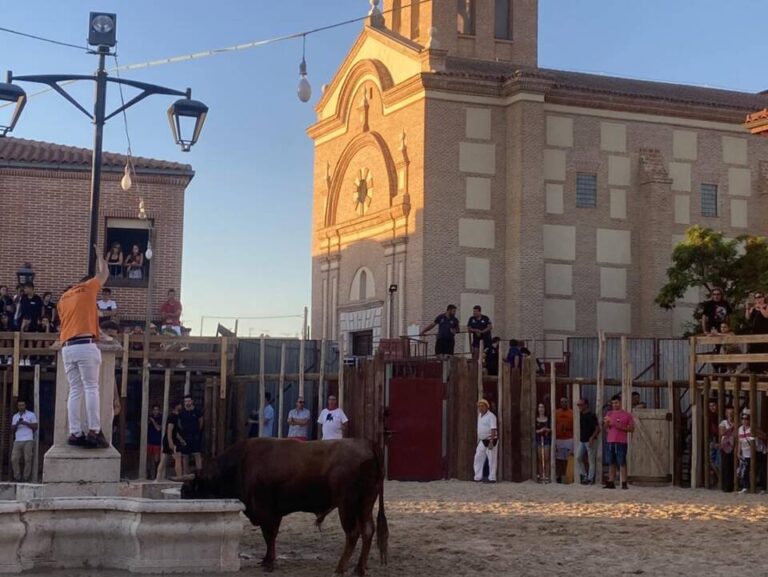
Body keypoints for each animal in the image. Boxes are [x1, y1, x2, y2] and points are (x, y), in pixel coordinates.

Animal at [178, 438, 388, 572]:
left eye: (187, 491)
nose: (182, 500)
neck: (241, 464)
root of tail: (367, 444)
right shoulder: (274, 512)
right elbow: (272, 535)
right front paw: (267, 559)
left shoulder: (265, 509)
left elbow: (268, 534)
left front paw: (269, 563)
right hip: (366, 502)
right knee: (368, 530)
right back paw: (359, 568)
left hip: (347, 504)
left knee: (353, 533)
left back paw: (341, 567)